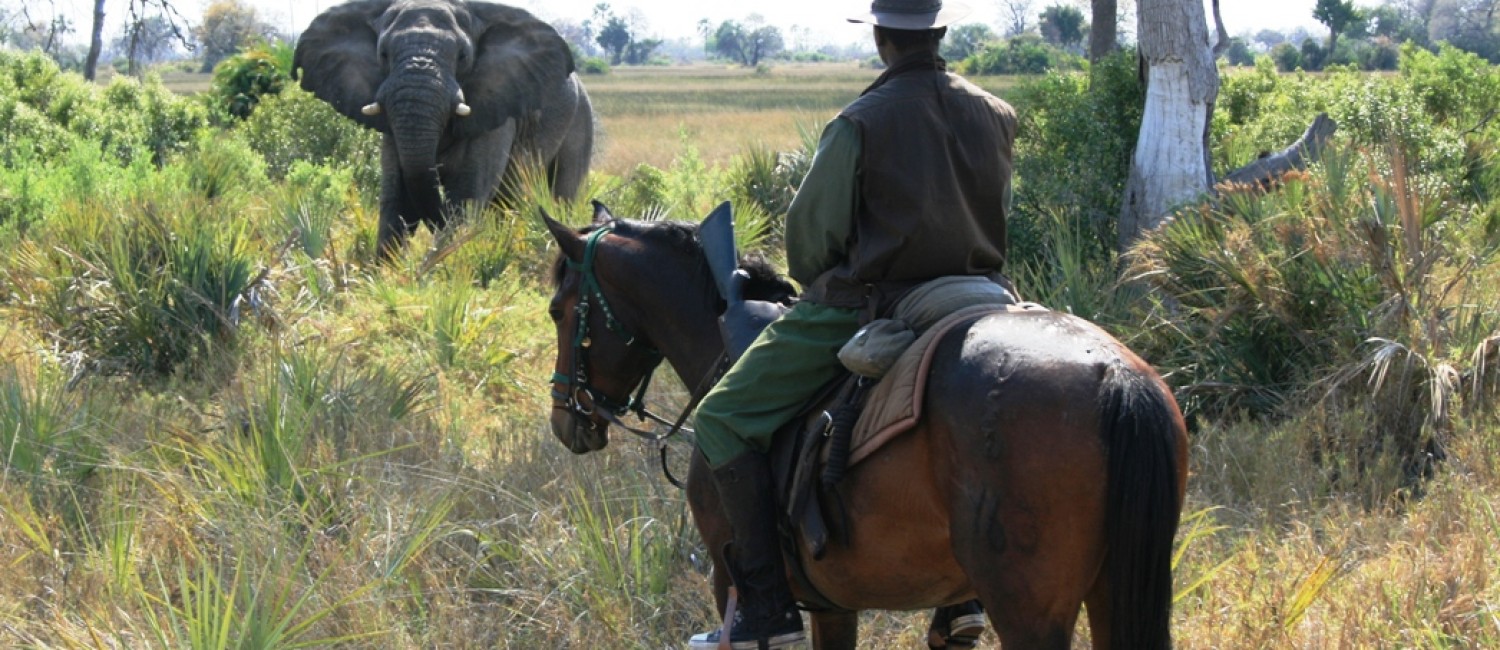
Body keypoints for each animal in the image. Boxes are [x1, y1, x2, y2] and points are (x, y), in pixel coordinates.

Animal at [294, 0, 594, 256]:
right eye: (383, 54)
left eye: (462, 56)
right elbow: (398, 198)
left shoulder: (496, 106)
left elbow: (466, 196)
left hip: (581, 118)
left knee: (560, 194)